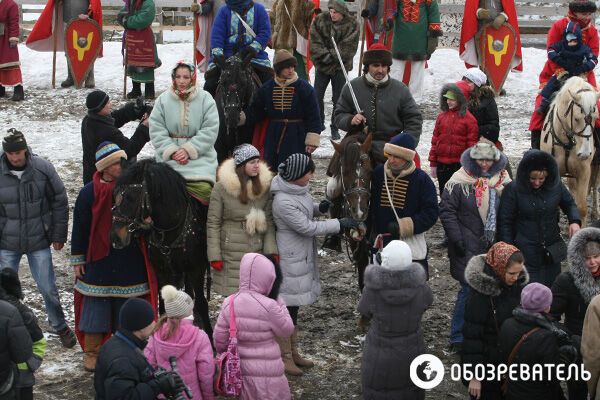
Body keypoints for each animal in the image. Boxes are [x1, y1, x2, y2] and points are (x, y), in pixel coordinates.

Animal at [110, 159, 213, 340]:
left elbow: (202, 303)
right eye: (115, 194)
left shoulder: (197, 269)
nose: (116, 237)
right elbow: (164, 304)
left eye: (130, 197)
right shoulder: (161, 271)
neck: (171, 230)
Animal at [540, 76, 600, 225]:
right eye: (577, 118)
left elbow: (582, 207)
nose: (585, 153)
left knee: (595, 185)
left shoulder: (584, 172)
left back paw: (595, 213)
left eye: (595, 118)